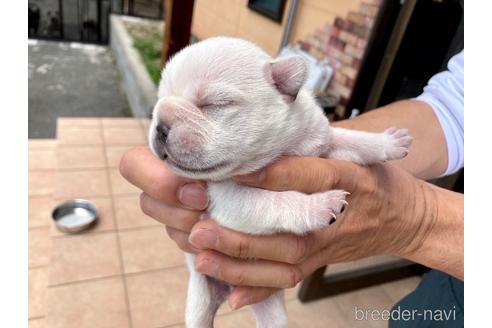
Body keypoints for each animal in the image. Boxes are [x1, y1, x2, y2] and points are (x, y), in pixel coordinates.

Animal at [148, 37, 414, 326]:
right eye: (158, 102)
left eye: (214, 104)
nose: (160, 125)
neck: (281, 149)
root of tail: (226, 291)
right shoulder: (228, 199)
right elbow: (275, 201)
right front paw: (320, 205)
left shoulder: (322, 141)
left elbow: (351, 139)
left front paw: (388, 143)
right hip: (199, 298)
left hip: (272, 312)